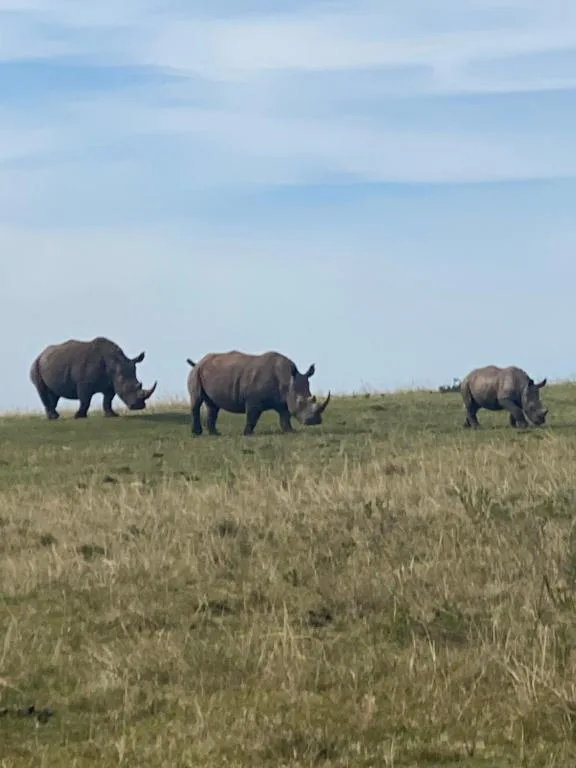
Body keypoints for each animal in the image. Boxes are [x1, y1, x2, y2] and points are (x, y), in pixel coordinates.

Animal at [186, 350, 331, 436]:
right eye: (300, 402)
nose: (315, 421)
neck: (287, 379)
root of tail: (199, 361)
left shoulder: (284, 400)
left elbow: (285, 416)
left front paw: (290, 431)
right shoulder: (253, 400)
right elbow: (252, 416)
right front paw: (247, 434)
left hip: (206, 372)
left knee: (212, 406)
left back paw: (215, 434)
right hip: (196, 372)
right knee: (197, 401)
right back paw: (197, 433)